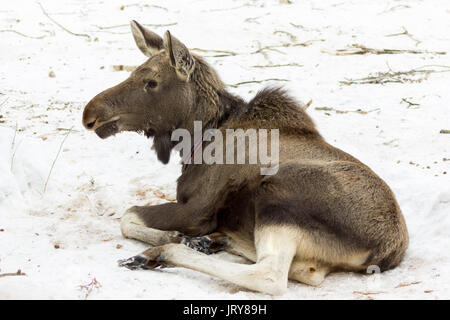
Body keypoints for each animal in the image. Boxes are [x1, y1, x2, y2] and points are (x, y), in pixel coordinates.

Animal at [81, 20, 408, 296]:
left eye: (151, 82)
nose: (90, 114)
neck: (199, 138)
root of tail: (386, 249)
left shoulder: (198, 210)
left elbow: (128, 217)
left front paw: (174, 237)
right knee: (302, 270)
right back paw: (211, 241)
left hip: (278, 193)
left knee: (270, 275)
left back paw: (168, 251)